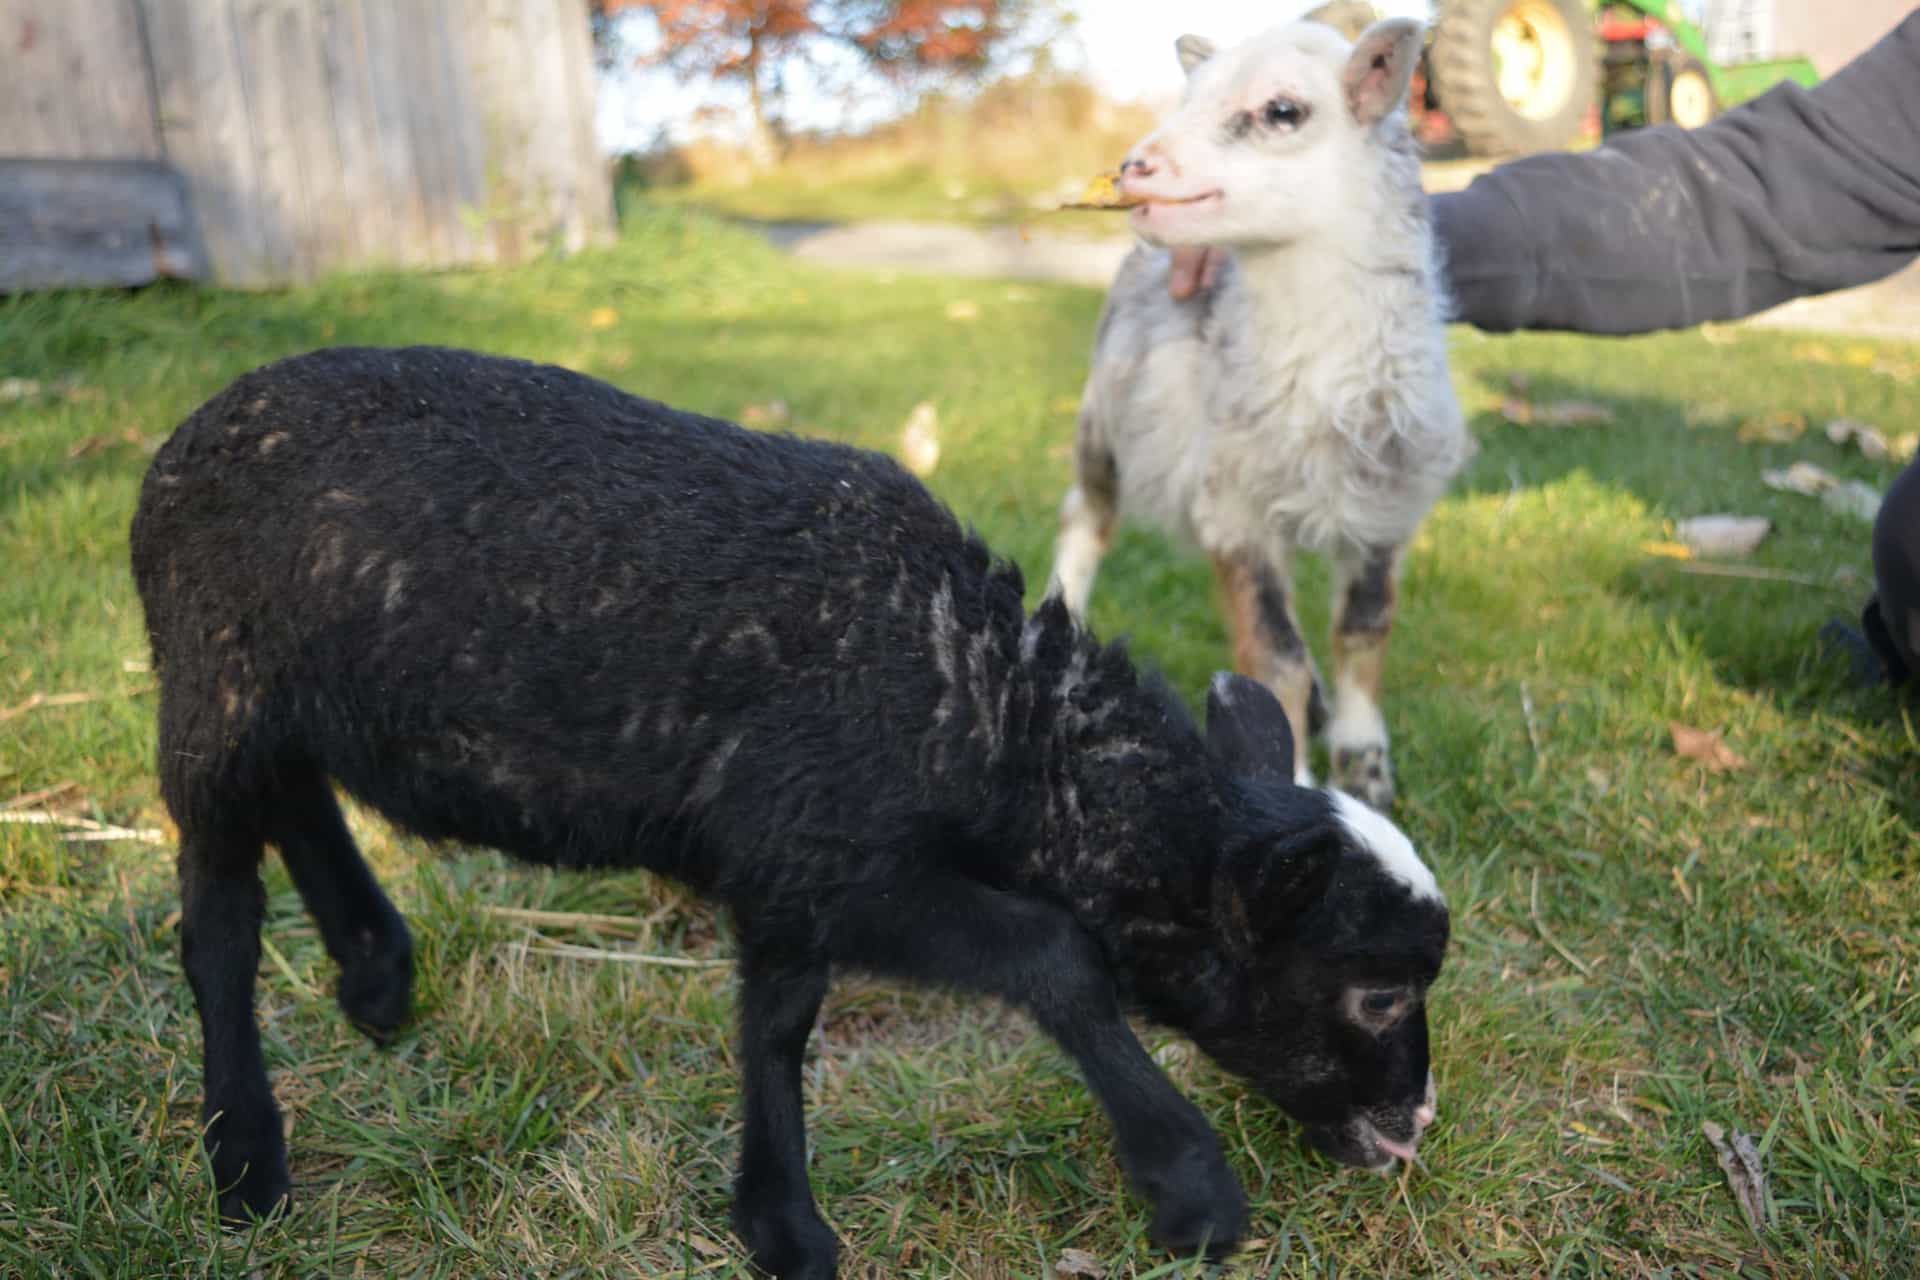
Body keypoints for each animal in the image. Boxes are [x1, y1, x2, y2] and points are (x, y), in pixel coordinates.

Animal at [130, 346, 1450, 1279]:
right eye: (1377, 991)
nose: (1416, 1124)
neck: (980, 704)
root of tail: (178, 443)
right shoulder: (838, 854)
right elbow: (1053, 953)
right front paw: (1190, 1187)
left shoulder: (785, 862)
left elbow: (776, 1019)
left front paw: (778, 1222)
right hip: (212, 681)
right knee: (218, 913)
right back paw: (245, 1156)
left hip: (285, 687)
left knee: (299, 796)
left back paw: (374, 969)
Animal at [1047, 18, 1472, 812]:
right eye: (1188, 96)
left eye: (1282, 110)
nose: (1133, 167)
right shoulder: (1234, 510)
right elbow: (1277, 657)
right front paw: (1298, 776)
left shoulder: (1384, 507)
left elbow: (1362, 631)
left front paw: (1364, 764)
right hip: (1103, 425)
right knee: (1084, 521)